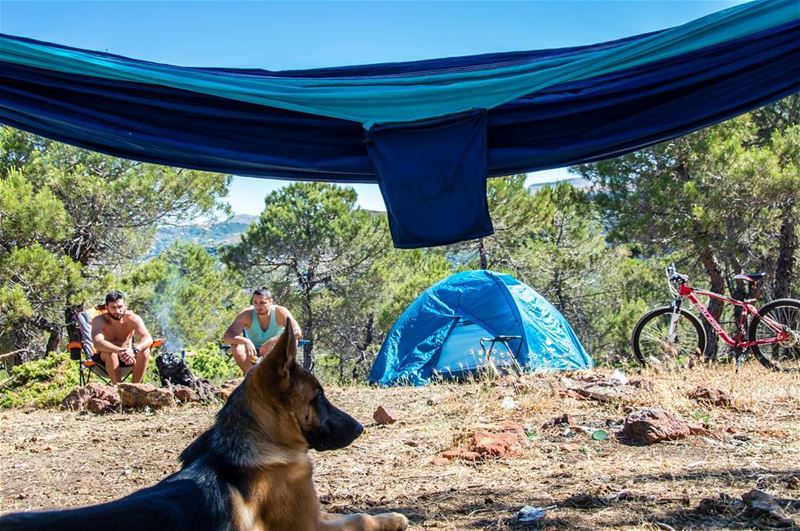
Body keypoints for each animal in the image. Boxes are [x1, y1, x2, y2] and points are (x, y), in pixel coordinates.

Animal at [0, 322, 410, 528]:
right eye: (318, 397)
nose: (360, 427)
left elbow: (353, 513)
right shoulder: (310, 525)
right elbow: (360, 518)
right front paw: (392, 518)